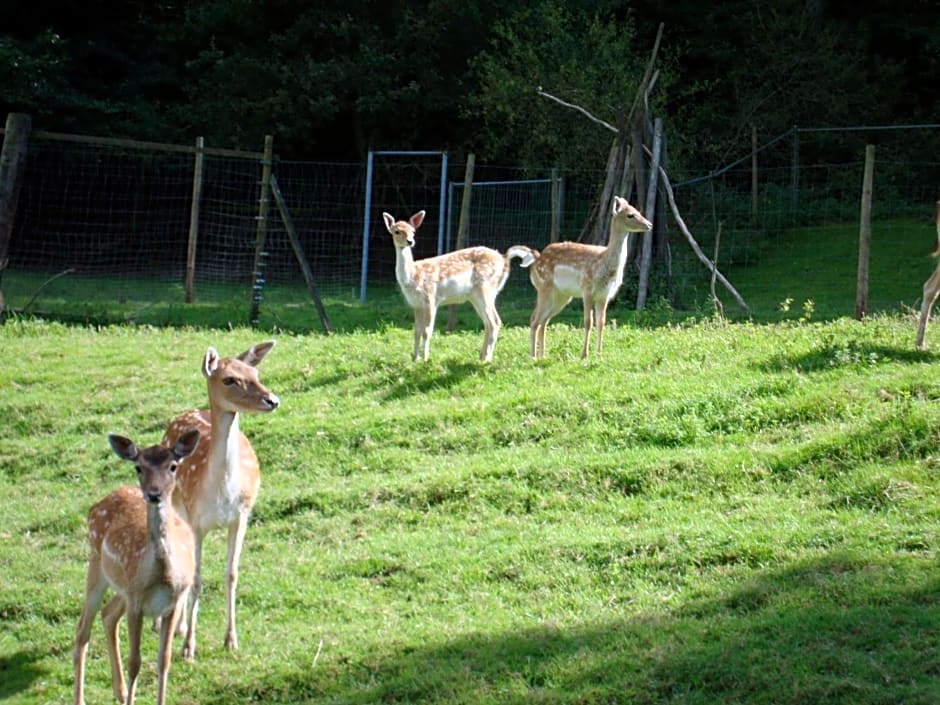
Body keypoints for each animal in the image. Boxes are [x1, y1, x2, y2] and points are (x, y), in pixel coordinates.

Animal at [75, 426, 202, 704]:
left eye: (173, 466)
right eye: (138, 467)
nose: (154, 494)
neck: (161, 575)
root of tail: (97, 504)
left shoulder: (174, 601)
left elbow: (164, 661)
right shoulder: (136, 602)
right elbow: (135, 662)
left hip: (122, 587)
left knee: (108, 614)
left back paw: (120, 691)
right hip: (97, 564)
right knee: (82, 630)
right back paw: (81, 698)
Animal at [160, 340, 280, 660]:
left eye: (255, 373)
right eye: (229, 379)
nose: (272, 400)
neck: (220, 494)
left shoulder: (241, 517)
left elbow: (231, 574)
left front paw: (231, 640)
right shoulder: (197, 522)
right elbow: (198, 578)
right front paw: (189, 647)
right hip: (176, 507)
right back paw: (175, 628)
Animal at [382, 209, 536, 360]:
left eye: (413, 231)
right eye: (397, 231)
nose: (410, 241)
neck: (413, 277)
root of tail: (504, 259)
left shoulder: (431, 297)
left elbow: (427, 331)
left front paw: (425, 359)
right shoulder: (416, 304)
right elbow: (416, 331)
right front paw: (415, 359)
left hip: (485, 287)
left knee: (495, 321)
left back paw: (486, 359)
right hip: (477, 296)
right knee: (488, 323)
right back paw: (482, 356)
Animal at [516, 195, 648, 358]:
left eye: (638, 211)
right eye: (630, 215)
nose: (649, 224)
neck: (603, 265)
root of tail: (536, 259)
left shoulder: (605, 295)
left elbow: (601, 322)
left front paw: (599, 354)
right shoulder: (587, 290)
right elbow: (588, 322)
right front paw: (584, 354)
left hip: (562, 296)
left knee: (544, 320)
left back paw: (543, 355)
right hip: (543, 287)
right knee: (534, 319)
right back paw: (533, 356)